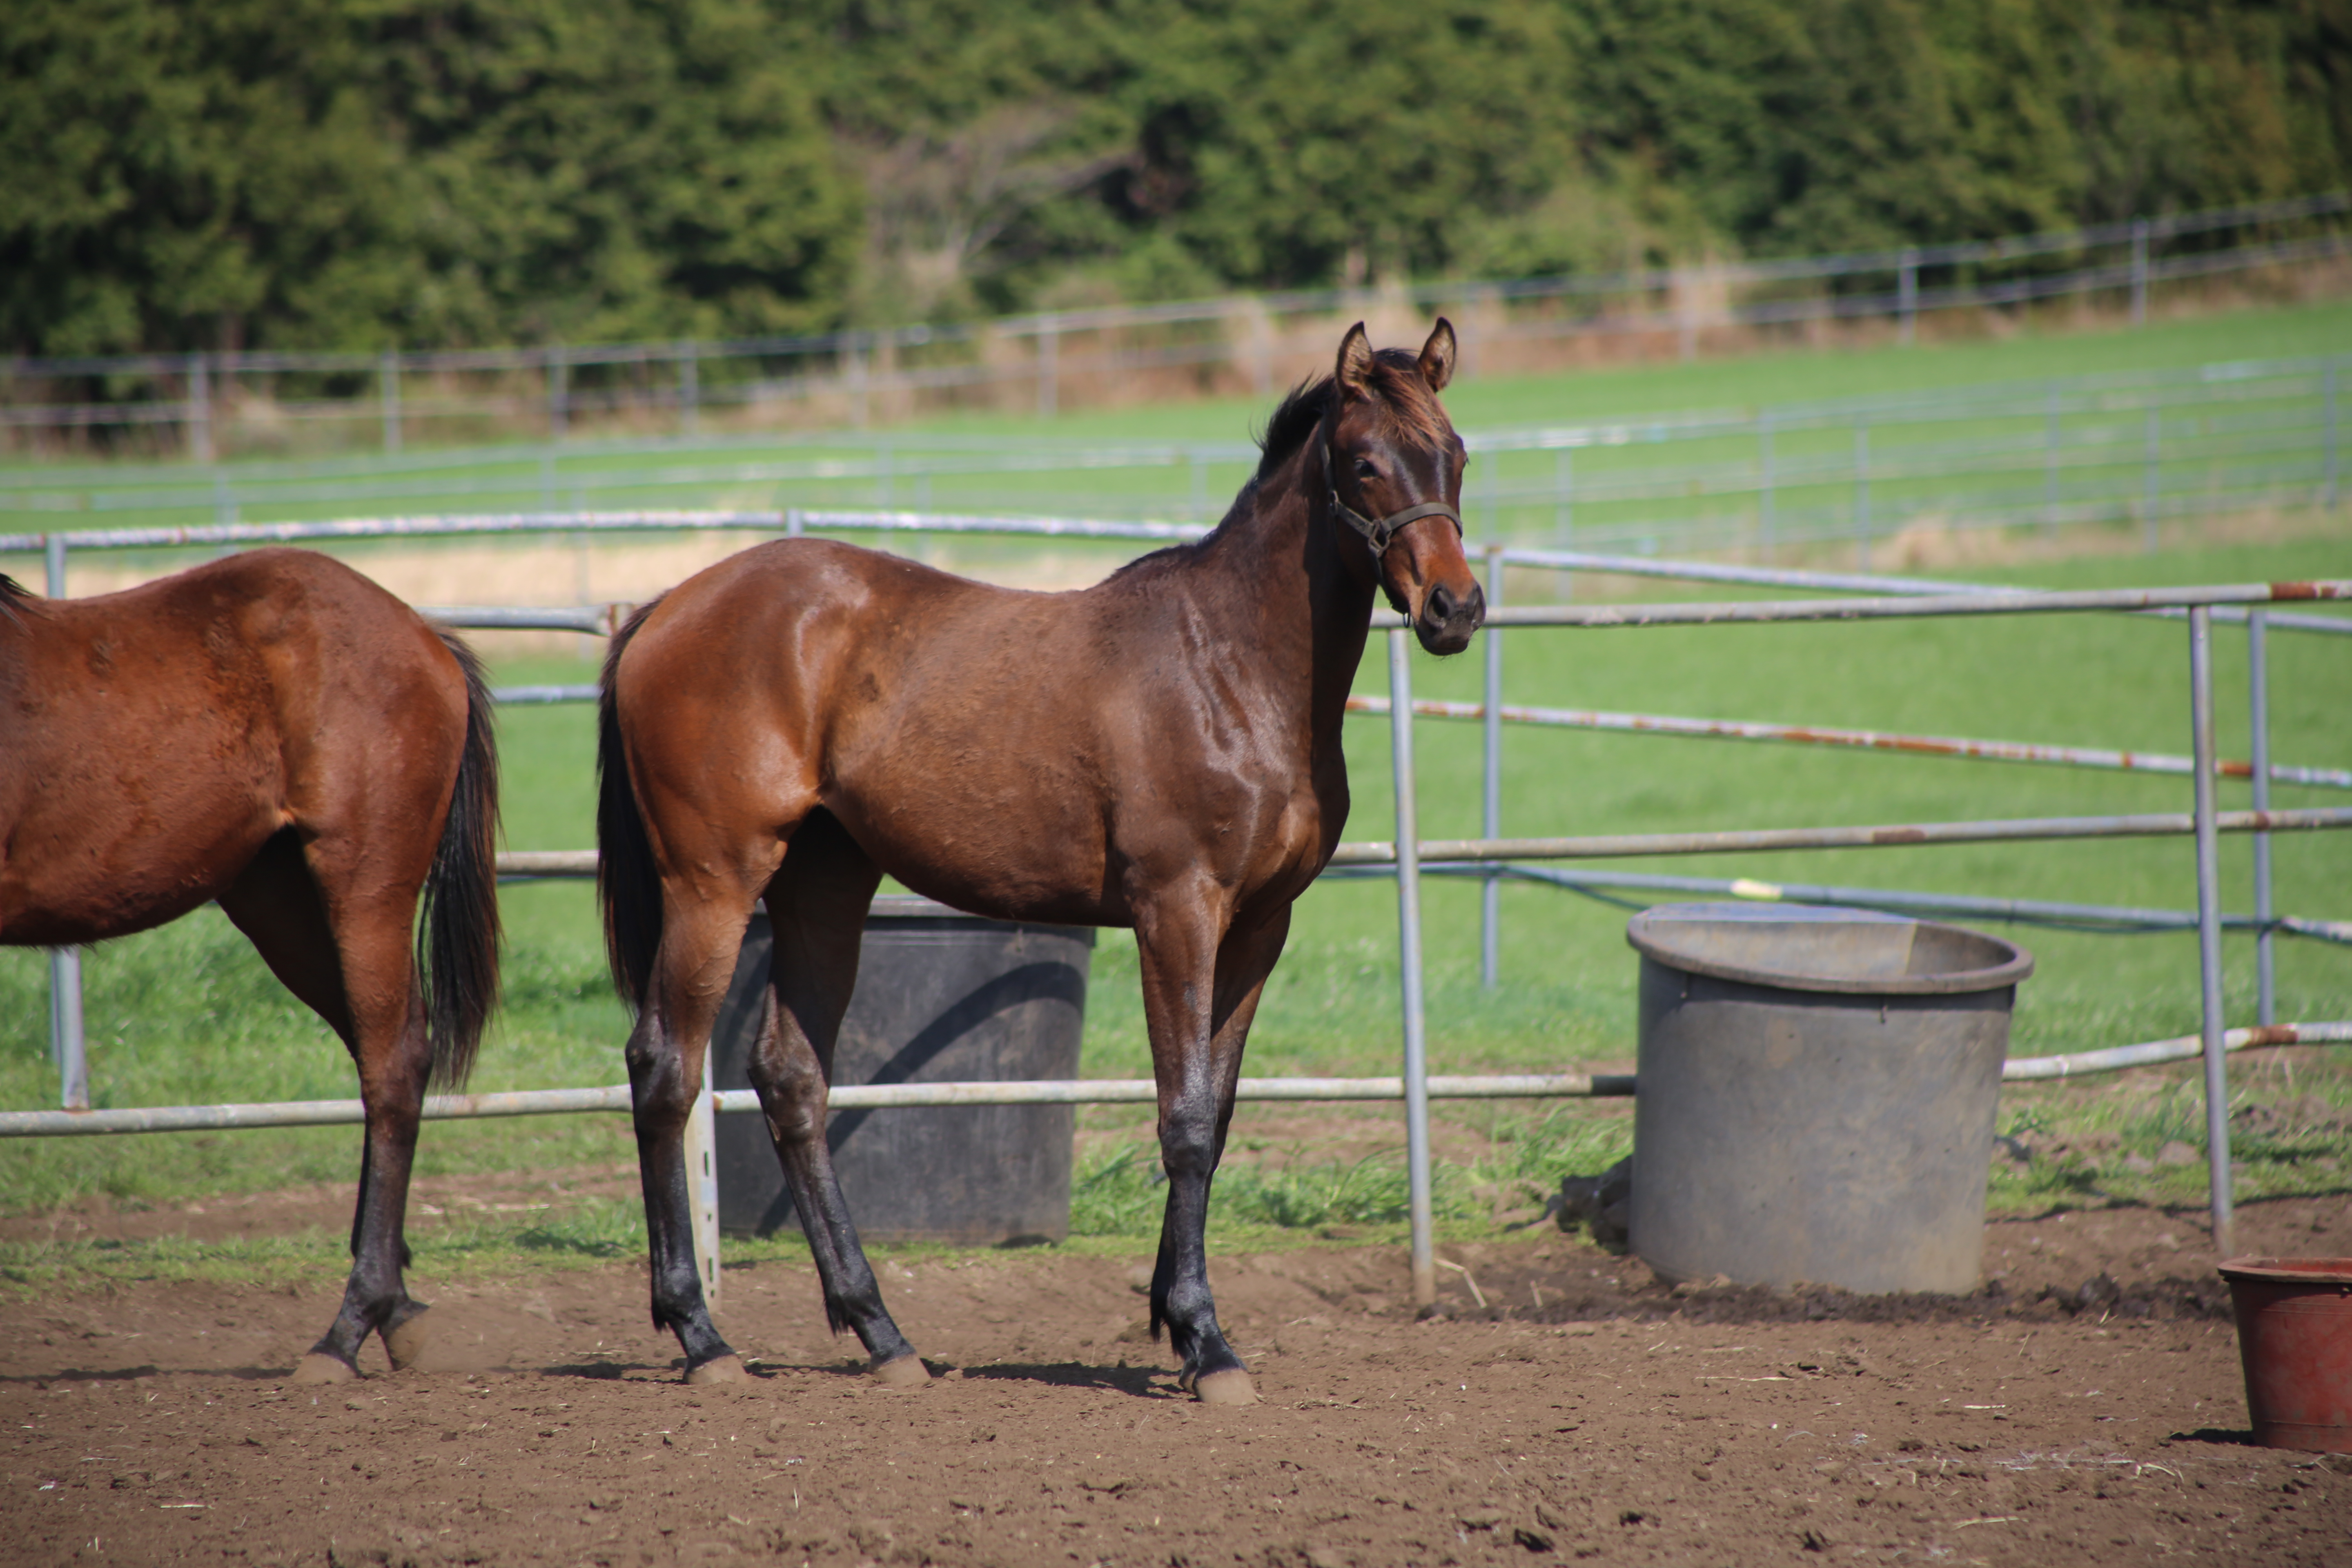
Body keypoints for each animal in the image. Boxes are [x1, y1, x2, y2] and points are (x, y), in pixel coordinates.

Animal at [2, 545, 501, 1382]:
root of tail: (424, 636)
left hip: (363, 888)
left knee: (393, 1067)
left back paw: (347, 1329)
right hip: (281, 904)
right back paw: (395, 1312)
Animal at [607, 324, 1486, 1401]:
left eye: (1454, 455)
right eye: (1364, 463)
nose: (1454, 608)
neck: (1228, 666)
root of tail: (666, 608)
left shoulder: (1258, 927)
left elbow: (1218, 1113)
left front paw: (1175, 1320)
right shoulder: (1176, 913)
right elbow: (1184, 1118)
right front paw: (1206, 1341)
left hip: (824, 888)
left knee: (790, 1077)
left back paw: (883, 1335)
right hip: (713, 884)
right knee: (664, 1069)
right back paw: (703, 1336)